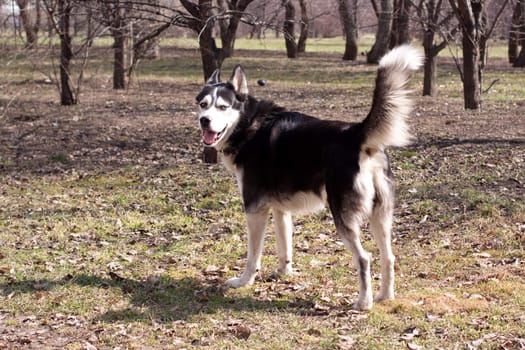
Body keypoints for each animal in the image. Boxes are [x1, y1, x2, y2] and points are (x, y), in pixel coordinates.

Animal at [195, 45, 422, 310]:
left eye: (222, 107)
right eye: (203, 104)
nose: (204, 120)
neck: (249, 124)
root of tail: (355, 133)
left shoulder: (254, 209)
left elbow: (253, 256)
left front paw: (244, 281)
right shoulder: (280, 210)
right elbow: (284, 248)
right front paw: (284, 274)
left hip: (343, 217)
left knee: (365, 258)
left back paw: (363, 303)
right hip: (381, 217)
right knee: (388, 257)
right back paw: (385, 296)